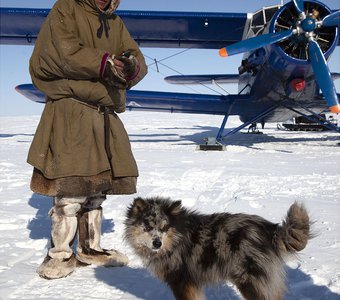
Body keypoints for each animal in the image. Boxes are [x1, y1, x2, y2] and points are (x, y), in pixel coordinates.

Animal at [124, 197, 310, 300]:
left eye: (164, 228)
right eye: (148, 227)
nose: (157, 243)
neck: (176, 238)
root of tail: (270, 229)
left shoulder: (181, 281)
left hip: (250, 281)